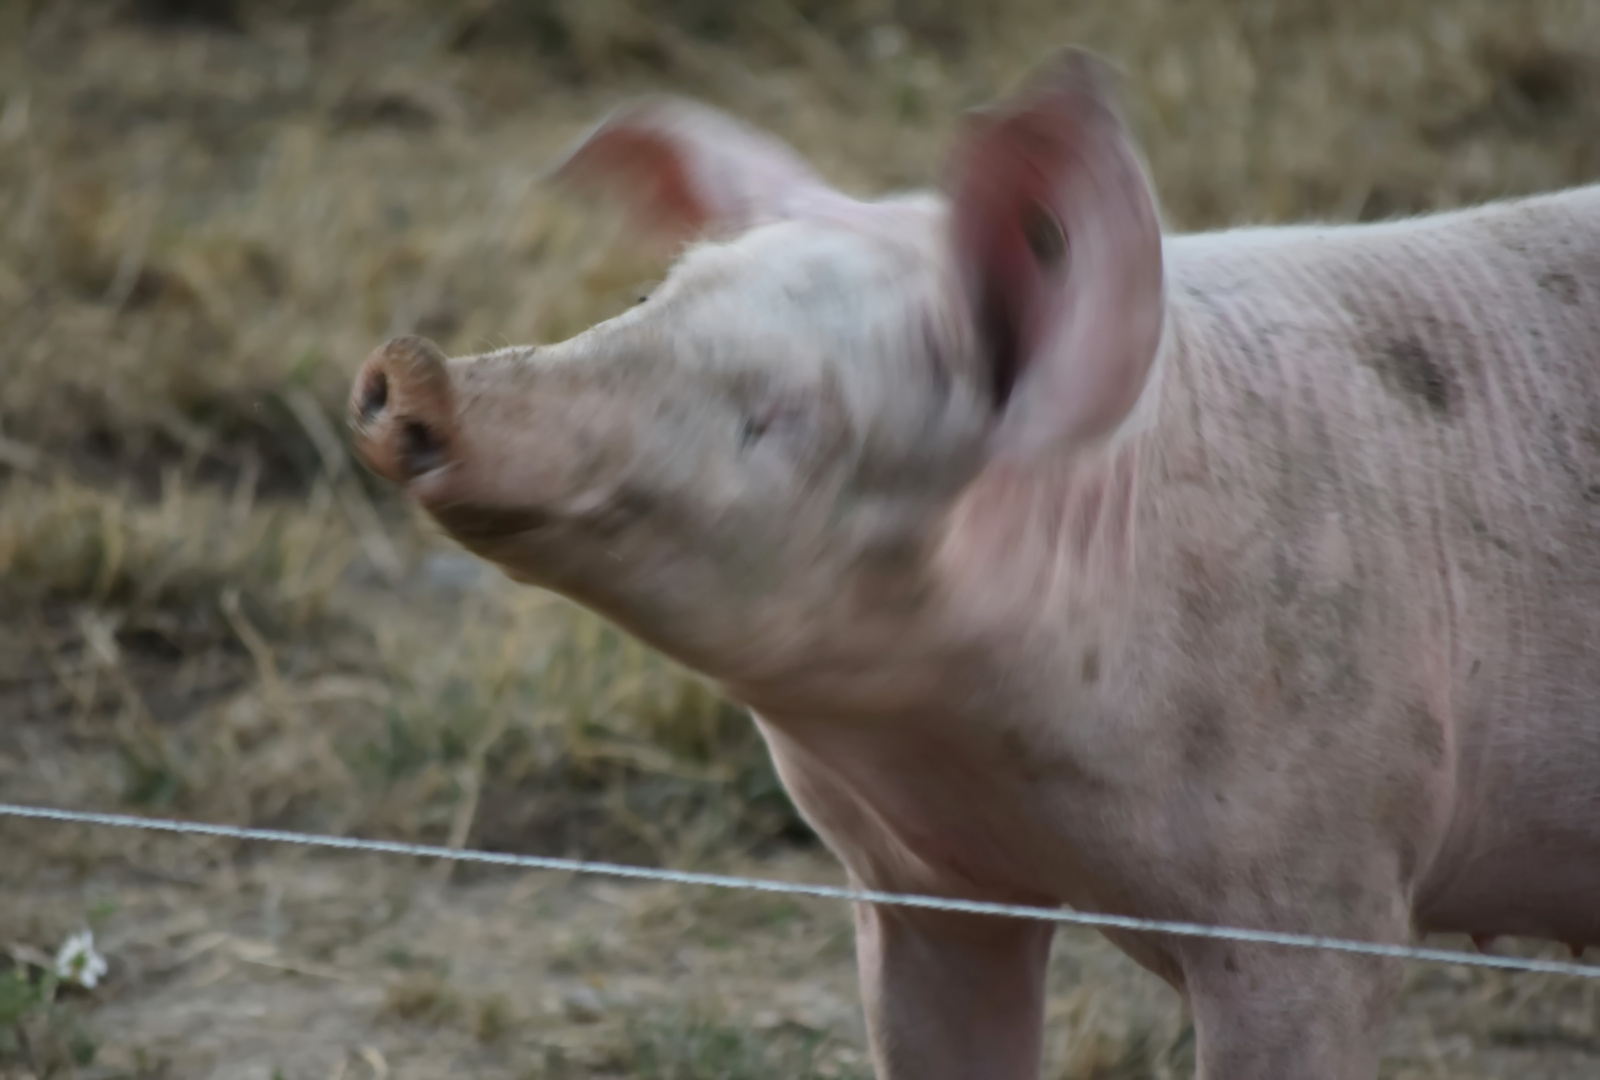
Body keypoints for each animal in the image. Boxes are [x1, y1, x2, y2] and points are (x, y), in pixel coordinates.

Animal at [347, 50, 1600, 1080]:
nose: (412, 368)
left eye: (783, 415)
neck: (980, 756)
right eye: (650, 297)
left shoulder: (1323, 899)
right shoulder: (915, 889)